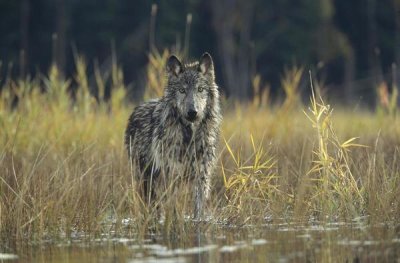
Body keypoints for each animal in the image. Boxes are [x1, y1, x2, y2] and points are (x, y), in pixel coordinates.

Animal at [124, 53, 222, 219]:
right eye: (182, 90)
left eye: (200, 89)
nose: (192, 112)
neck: (189, 137)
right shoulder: (171, 176)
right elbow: (173, 206)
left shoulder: (201, 177)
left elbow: (198, 208)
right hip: (145, 178)